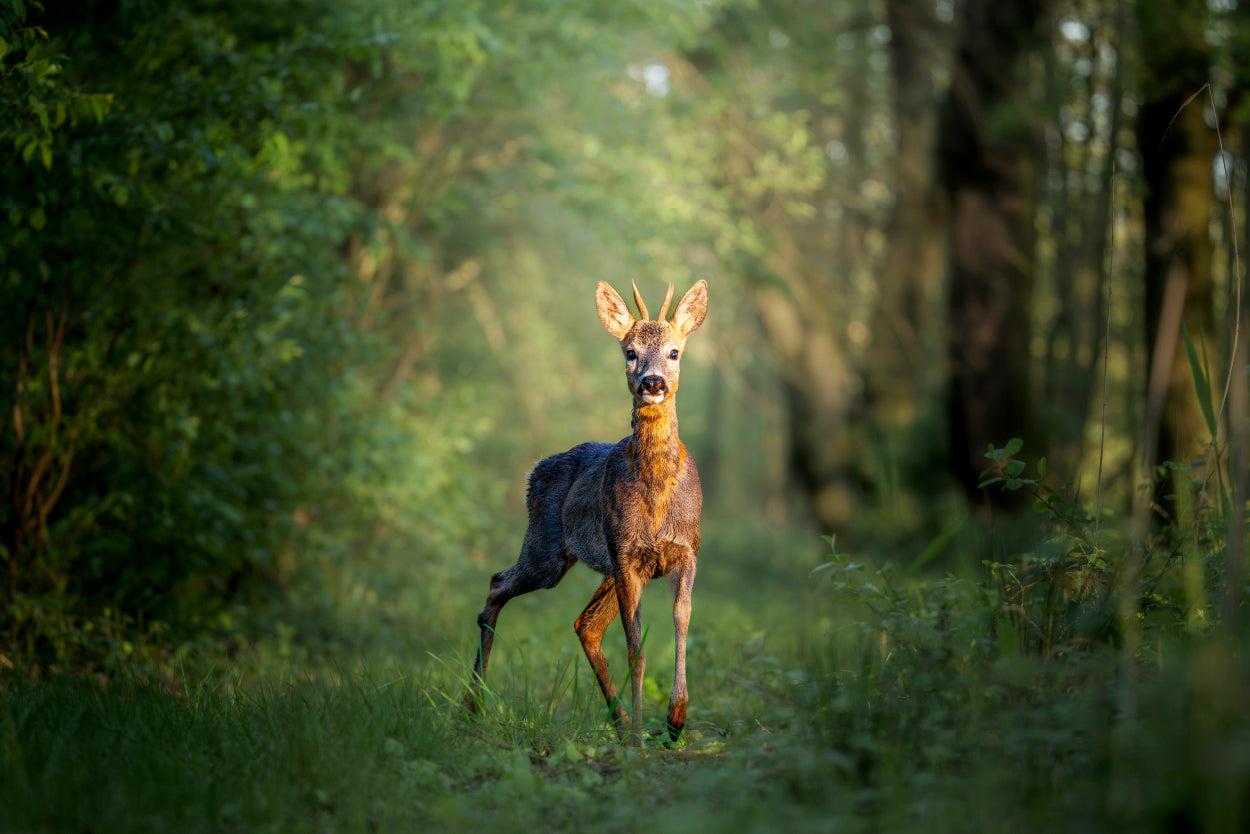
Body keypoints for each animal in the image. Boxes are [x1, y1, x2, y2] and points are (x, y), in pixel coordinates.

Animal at [464, 279, 708, 744]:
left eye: (675, 352)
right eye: (630, 351)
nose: (652, 382)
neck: (658, 496)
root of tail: (534, 471)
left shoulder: (687, 550)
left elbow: (683, 620)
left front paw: (675, 719)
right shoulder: (626, 554)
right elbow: (636, 647)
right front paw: (644, 737)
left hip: (598, 566)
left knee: (585, 624)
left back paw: (620, 722)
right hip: (549, 549)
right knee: (497, 583)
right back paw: (471, 706)